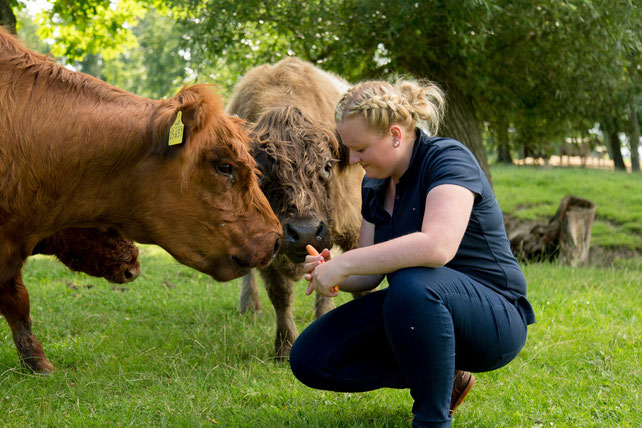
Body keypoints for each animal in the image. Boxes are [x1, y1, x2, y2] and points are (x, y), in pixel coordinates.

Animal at [228, 56, 362, 358]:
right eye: (260, 171)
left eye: (328, 165)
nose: (305, 232)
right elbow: (280, 294)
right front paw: (285, 346)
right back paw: (249, 305)